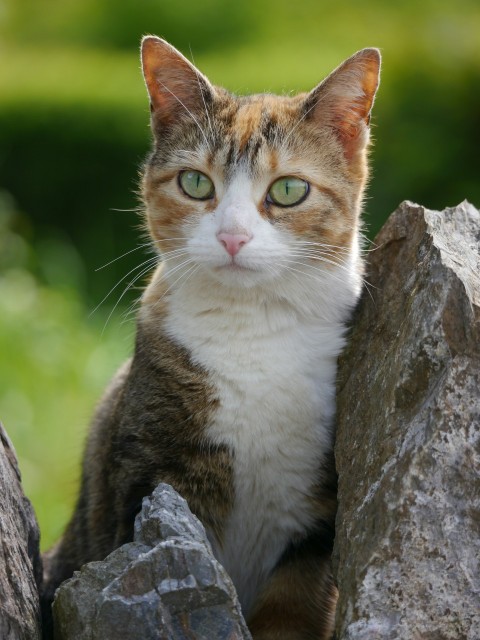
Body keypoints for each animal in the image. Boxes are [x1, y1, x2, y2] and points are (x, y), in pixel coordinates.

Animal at [42, 36, 378, 640]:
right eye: (196, 182)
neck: (254, 330)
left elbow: (292, 607)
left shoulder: (319, 516)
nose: (232, 236)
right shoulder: (152, 478)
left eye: (289, 190)